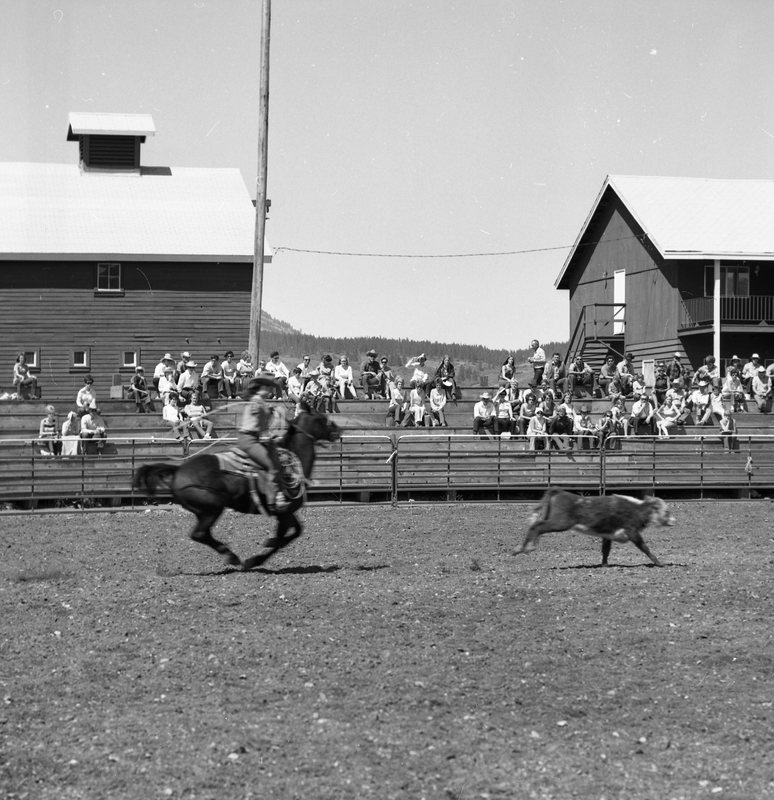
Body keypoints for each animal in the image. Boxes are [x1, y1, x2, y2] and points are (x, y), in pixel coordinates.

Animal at [513, 488, 675, 566]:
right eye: (667, 511)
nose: (674, 520)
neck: (638, 509)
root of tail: (559, 492)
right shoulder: (632, 532)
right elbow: (645, 548)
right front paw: (659, 563)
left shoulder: (608, 534)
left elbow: (606, 550)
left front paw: (604, 565)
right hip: (560, 522)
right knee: (536, 527)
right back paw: (525, 548)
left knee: (538, 527)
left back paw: (525, 547)